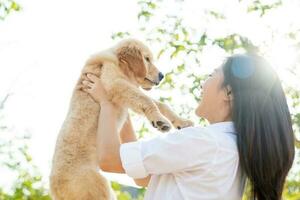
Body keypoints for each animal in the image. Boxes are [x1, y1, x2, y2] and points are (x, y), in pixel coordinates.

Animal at [49, 38, 192, 199]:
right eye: (147, 59)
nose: (162, 75)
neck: (120, 64)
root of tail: (55, 188)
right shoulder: (115, 83)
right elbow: (147, 100)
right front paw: (160, 121)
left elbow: (161, 104)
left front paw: (181, 122)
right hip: (99, 188)